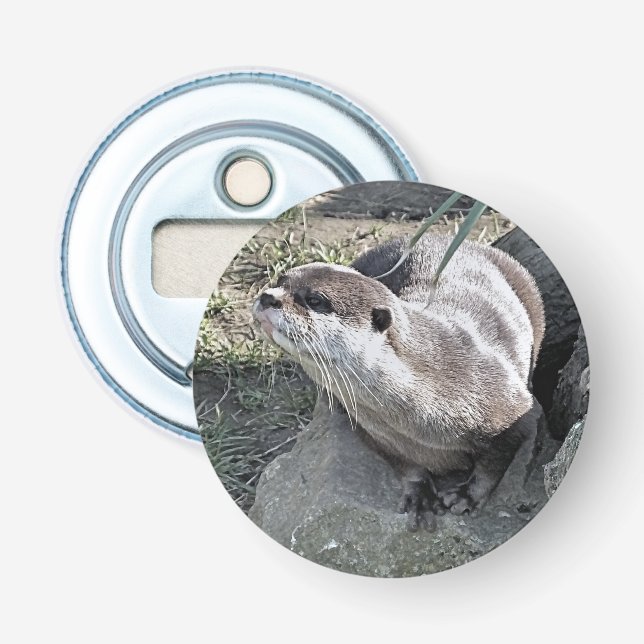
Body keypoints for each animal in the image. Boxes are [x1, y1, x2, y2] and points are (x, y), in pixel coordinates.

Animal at [252, 234, 545, 530]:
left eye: (314, 299)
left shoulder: (511, 408)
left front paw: (467, 496)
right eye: (280, 280)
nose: (268, 296)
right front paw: (419, 494)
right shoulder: (373, 432)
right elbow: (403, 464)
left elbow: (496, 461)